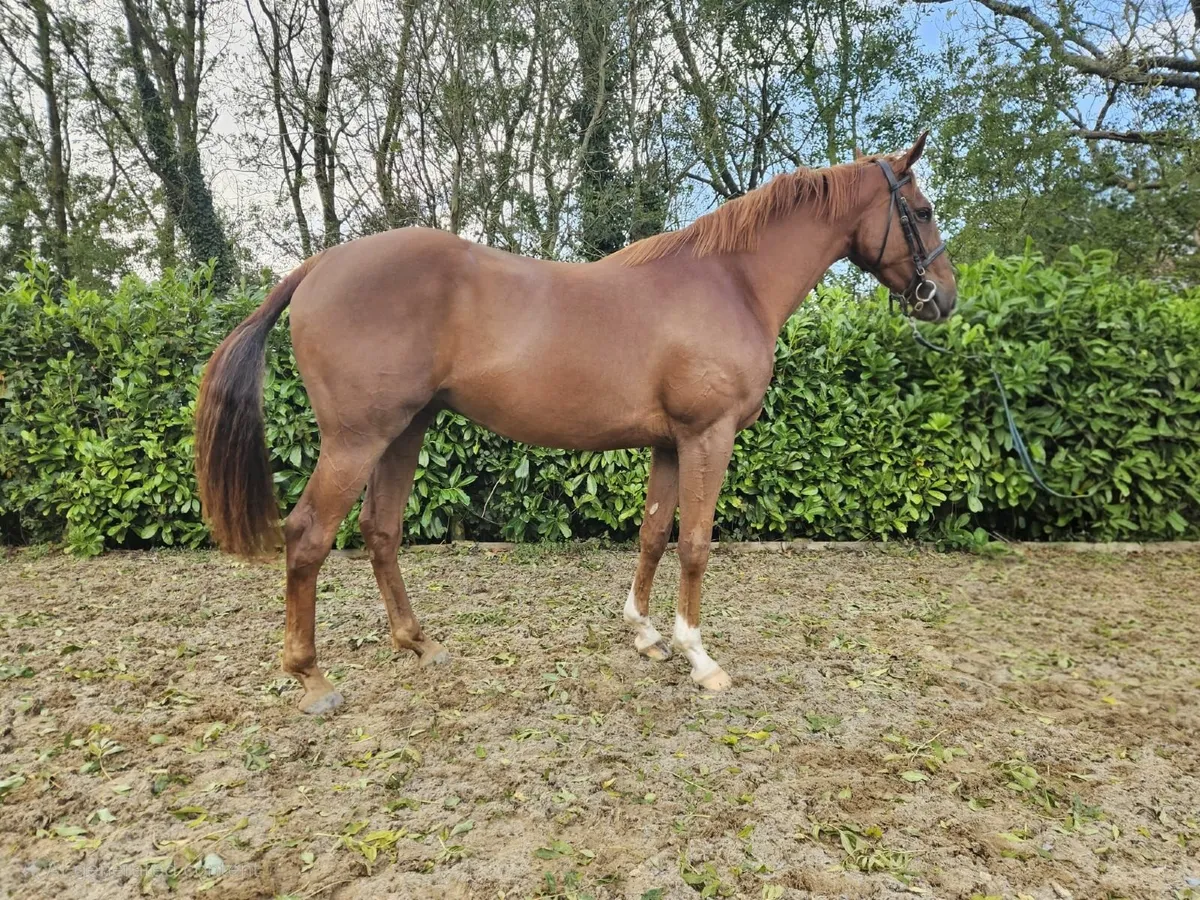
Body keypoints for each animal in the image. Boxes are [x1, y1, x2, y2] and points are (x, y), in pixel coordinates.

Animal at [194, 132, 956, 716]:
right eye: (920, 209)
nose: (943, 298)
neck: (730, 281)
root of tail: (322, 263)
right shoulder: (707, 436)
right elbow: (695, 545)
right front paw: (699, 656)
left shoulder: (669, 444)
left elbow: (652, 534)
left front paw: (644, 634)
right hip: (357, 440)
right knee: (307, 537)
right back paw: (312, 678)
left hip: (402, 433)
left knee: (381, 532)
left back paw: (419, 644)